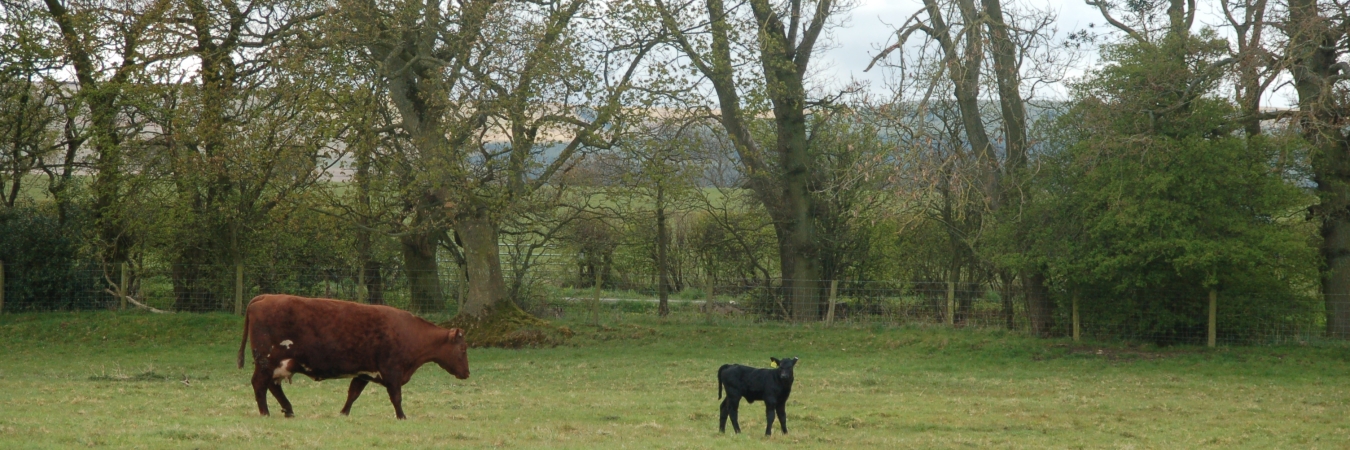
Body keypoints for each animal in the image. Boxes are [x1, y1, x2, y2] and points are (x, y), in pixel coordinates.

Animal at [237, 294, 470, 419]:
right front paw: (402, 416)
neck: (409, 333)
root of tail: (266, 296)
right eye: (463, 349)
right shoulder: (392, 372)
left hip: (279, 364)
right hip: (267, 361)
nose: (467, 373)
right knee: (259, 384)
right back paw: (265, 412)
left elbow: (353, 393)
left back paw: (289, 410)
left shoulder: (364, 372)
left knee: (273, 386)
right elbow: (396, 397)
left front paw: (343, 413)